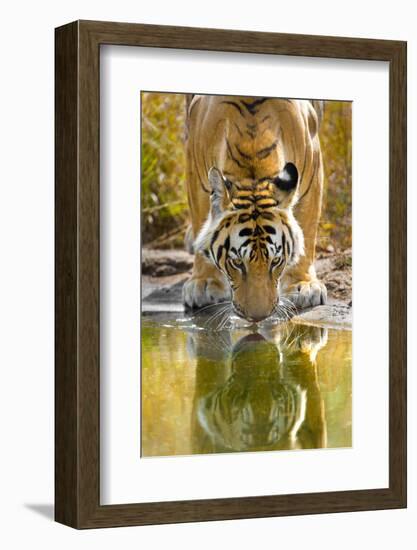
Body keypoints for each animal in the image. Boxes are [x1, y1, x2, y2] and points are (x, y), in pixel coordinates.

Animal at [184, 92, 326, 322]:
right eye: (236, 262)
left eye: (276, 261)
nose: (258, 317)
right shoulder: (195, 171)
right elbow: (199, 220)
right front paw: (203, 283)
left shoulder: (313, 165)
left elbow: (307, 226)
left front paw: (303, 285)